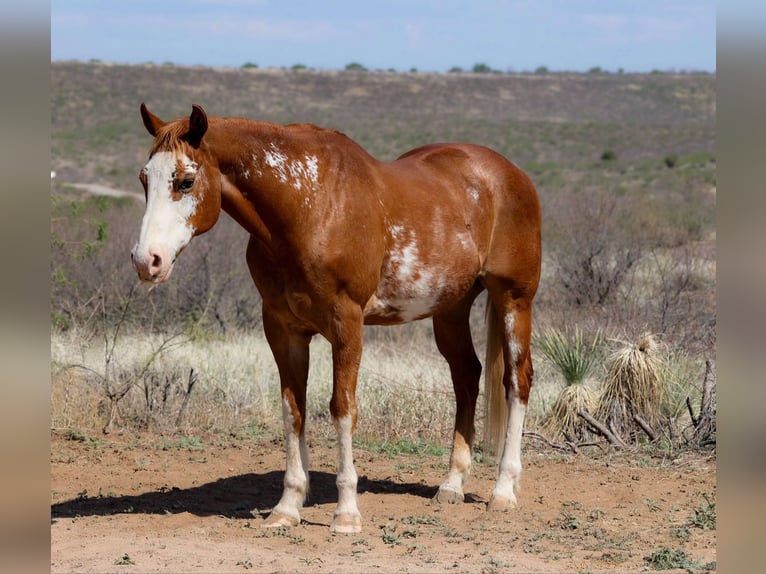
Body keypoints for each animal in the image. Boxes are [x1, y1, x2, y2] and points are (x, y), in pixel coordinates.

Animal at [131, 103, 541, 533]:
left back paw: (503, 491)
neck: (309, 205)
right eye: (145, 179)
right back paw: (451, 486)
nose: (147, 261)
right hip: (450, 310)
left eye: (186, 181)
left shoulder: (346, 324)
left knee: (517, 381)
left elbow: (342, 408)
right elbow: (293, 410)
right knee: (466, 377)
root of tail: (511, 174)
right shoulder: (283, 329)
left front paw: (346, 512)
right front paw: (287, 507)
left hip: (514, 300)